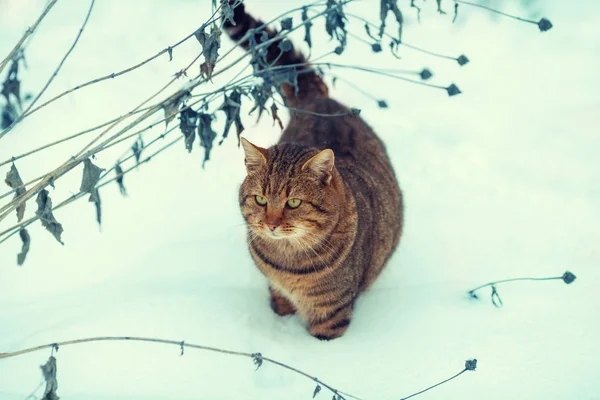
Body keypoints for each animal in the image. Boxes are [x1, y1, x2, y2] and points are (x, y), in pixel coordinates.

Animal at [225, 2, 404, 340]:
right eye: (260, 199)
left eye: (294, 202)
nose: (271, 224)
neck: (287, 263)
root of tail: (318, 100)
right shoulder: (277, 290)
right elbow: (280, 306)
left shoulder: (331, 313)